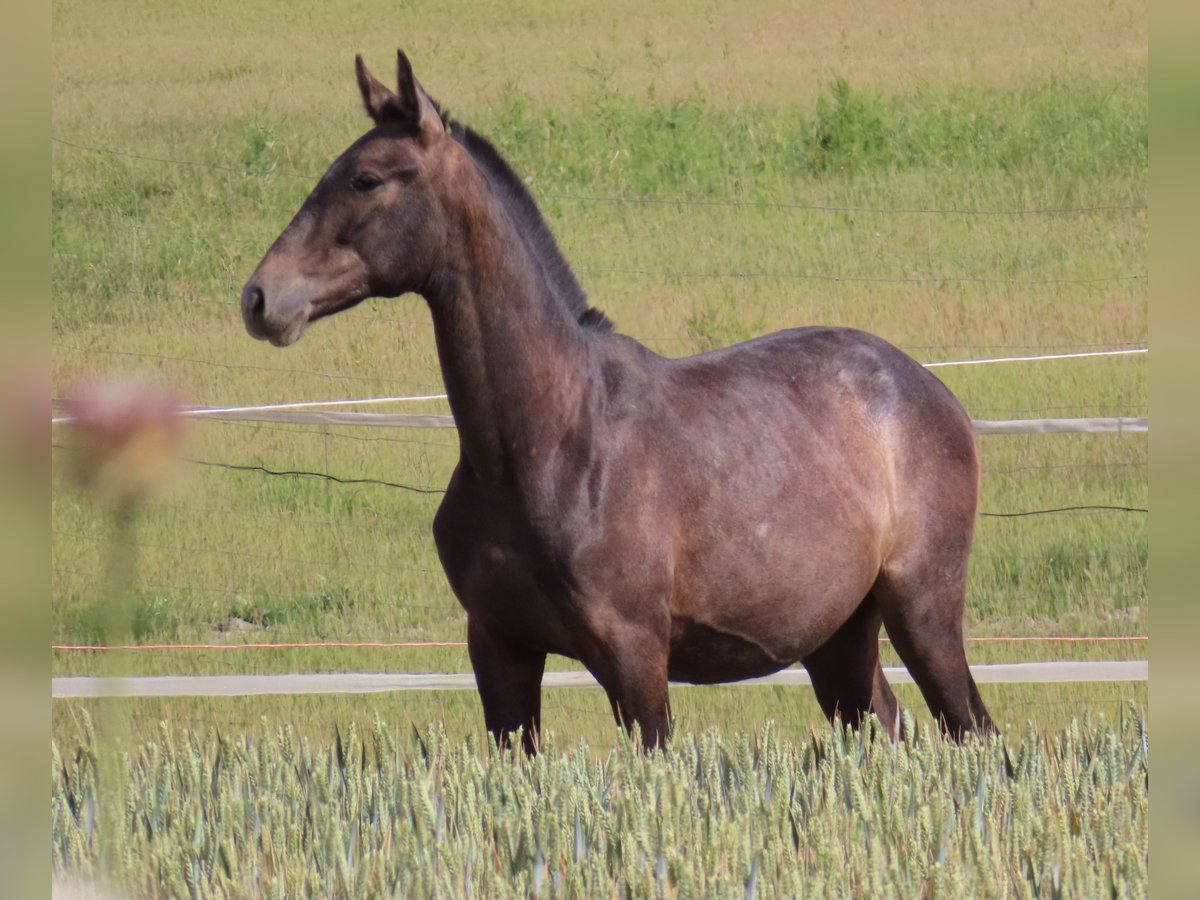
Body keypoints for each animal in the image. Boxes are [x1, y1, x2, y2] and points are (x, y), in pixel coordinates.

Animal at [241, 51, 993, 753]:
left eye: (366, 179)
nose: (260, 298)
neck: (546, 444)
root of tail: (927, 388)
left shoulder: (633, 658)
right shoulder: (499, 650)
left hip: (921, 610)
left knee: (972, 728)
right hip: (838, 640)